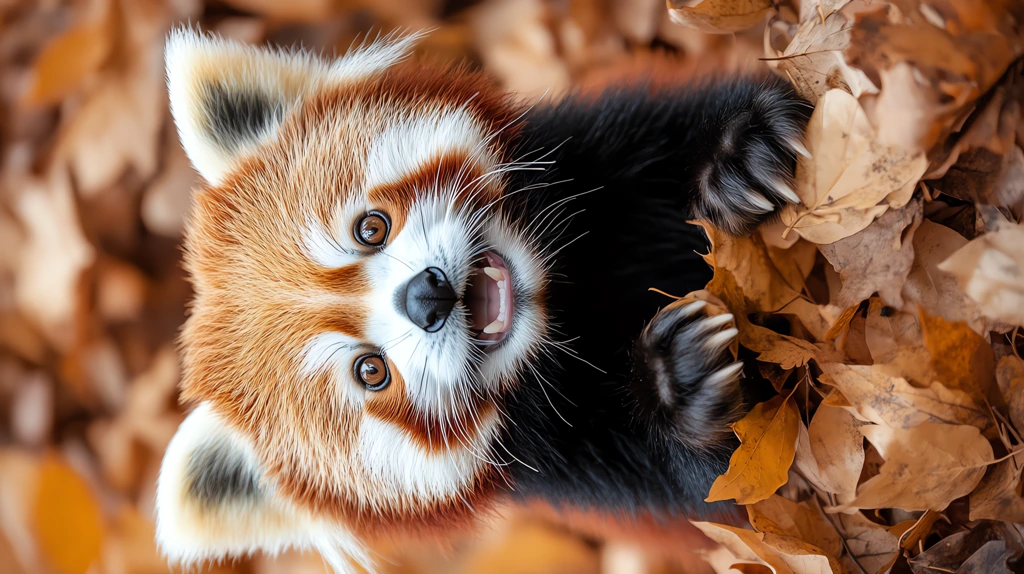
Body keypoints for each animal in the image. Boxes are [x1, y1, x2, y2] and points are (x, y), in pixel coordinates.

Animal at [155, 26, 806, 572]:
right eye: (371, 371)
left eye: (370, 228)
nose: (427, 297)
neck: (565, 295)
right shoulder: (581, 467)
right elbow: (722, 486)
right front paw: (676, 381)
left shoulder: (595, 141)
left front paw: (737, 154)